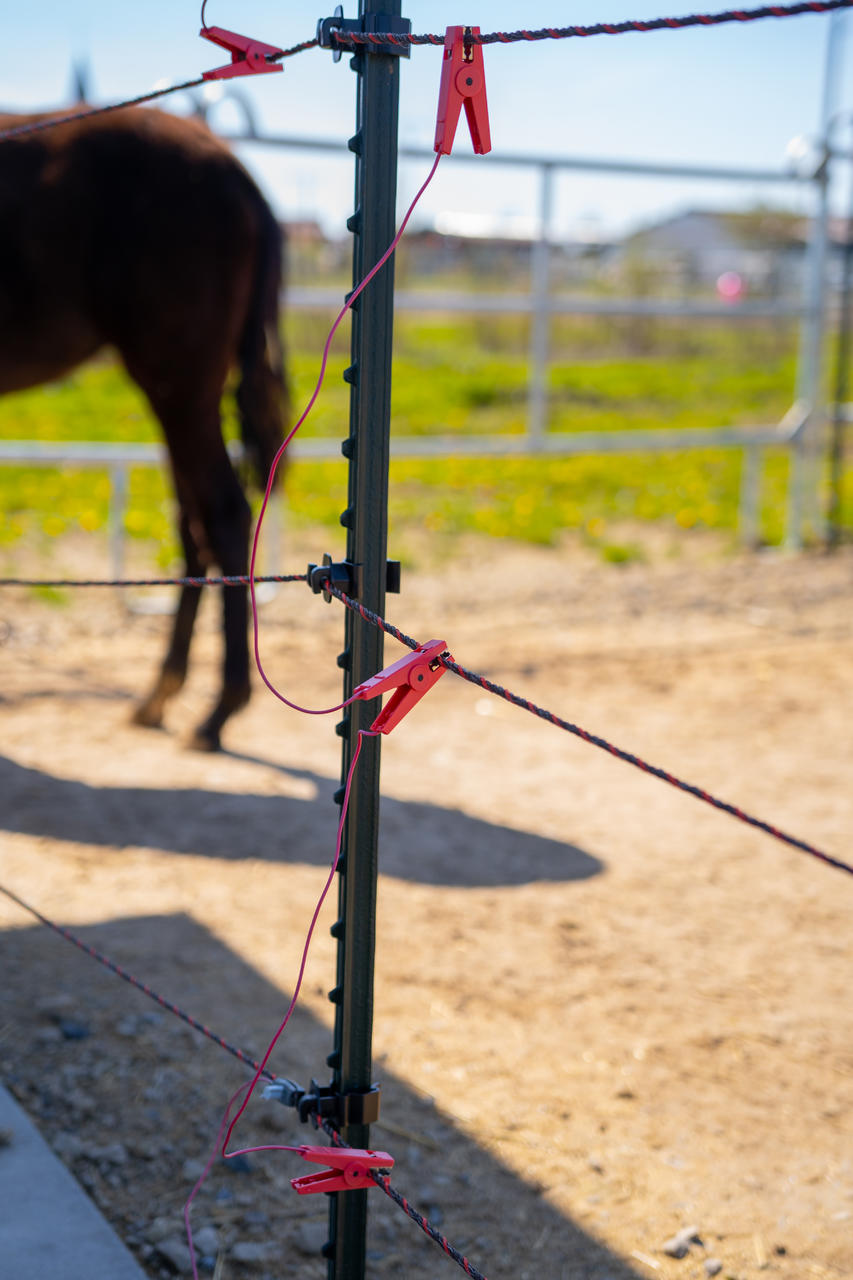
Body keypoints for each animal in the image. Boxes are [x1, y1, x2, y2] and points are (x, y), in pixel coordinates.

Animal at [0, 110, 289, 752]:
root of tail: (237, 174)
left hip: (178, 382)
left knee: (222, 513)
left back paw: (218, 709)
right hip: (180, 392)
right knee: (192, 523)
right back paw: (162, 693)